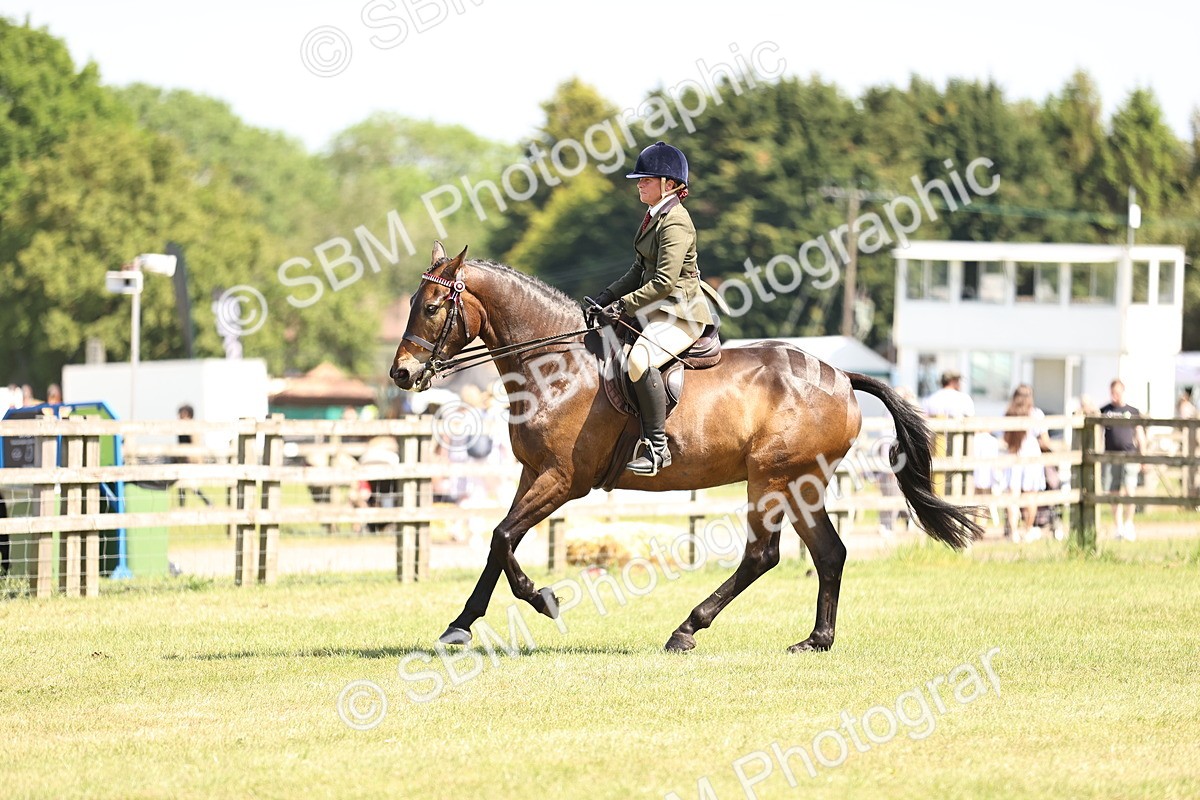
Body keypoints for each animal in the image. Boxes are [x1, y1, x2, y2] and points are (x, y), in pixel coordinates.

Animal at [391, 242, 983, 653]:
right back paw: (815, 640)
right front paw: (460, 626)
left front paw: (544, 599)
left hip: (771, 479)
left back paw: (686, 630)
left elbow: (502, 536)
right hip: (801, 484)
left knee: (762, 555)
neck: (555, 366)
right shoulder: (532, 473)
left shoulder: (563, 479)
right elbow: (500, 543)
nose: (401, 374)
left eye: (431, 308)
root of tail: (840, 375)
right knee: (829, 553)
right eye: (414, 303)